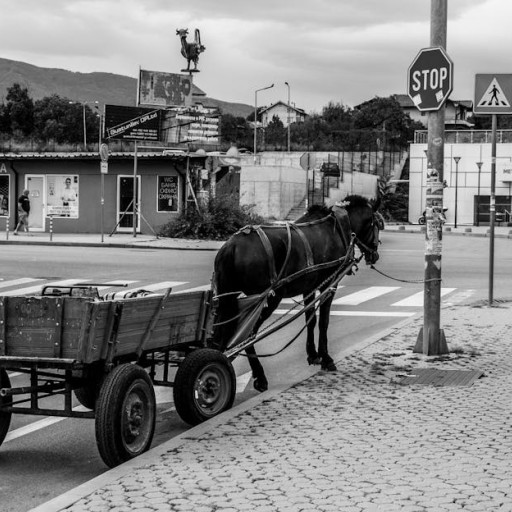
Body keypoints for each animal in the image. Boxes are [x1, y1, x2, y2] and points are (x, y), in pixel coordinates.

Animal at [211, 194, 382, 392]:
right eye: (376, 224)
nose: (375, 255)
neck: (338, 229)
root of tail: (231, 247)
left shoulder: (309, 288)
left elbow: (311, 319)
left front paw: (313, 355)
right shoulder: (329, 284)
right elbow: (323, 321)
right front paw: (326, 358)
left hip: (227, 298)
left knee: (220, 334)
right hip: (268, 299)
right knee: (247, 335)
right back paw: (259, 377)